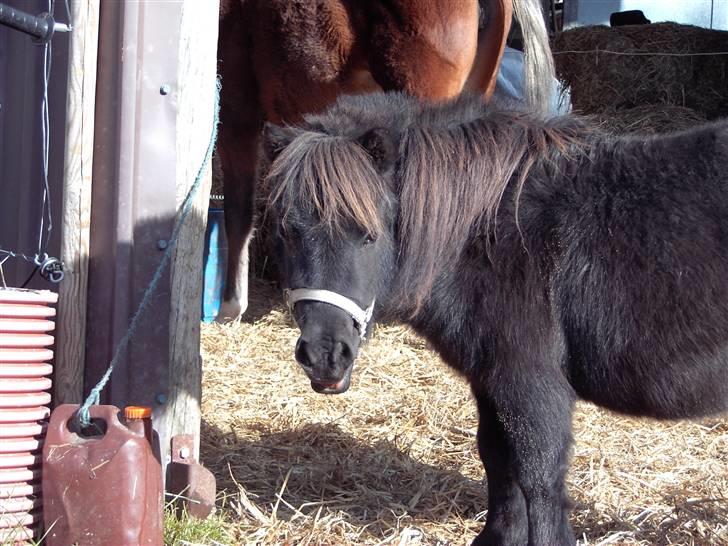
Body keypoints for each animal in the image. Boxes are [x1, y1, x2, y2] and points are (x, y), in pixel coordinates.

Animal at [258, 91, 724, 540]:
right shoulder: (490, 382)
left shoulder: (530, 386)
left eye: (368, 234)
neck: (492, 234)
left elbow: (539, 480)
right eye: (285, 230)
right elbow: (498, 462)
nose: (324, 355)